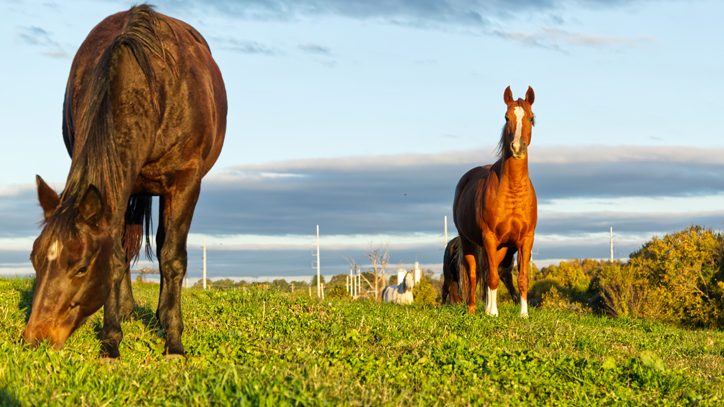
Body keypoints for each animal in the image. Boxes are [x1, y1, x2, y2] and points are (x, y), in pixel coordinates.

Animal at [23, 4, 226, 358]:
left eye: (81, 267)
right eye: (34, 260)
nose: (37, 337)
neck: (152, 87)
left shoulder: (185, 183)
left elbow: (172, 257)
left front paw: (174, 341)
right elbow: (116, 258)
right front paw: (111, 340)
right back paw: (128, 310)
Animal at [452, 85, 536, 316]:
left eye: (532, 118)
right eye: (506, 117)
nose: (517, 148)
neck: (513, 191)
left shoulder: (526, 240)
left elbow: (522, 279)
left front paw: (523, 314)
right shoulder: (489, 238)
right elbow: (490, 277)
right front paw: (493, 313)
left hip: (503, 248)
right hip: (469, 242)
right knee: (474, 274)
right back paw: (473, 309)